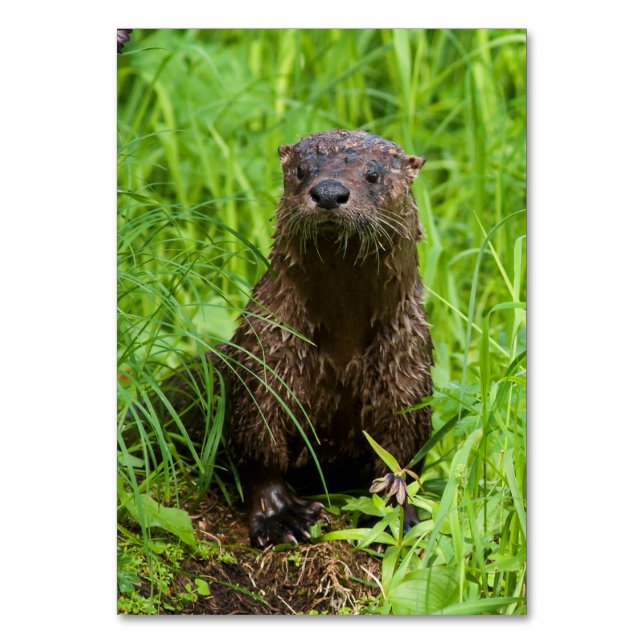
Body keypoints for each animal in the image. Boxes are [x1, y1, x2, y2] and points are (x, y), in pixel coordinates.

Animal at [219, 129, 433, 547]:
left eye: (373, 175)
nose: (330, 192)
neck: (342, 349)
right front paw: (282, 516)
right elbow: (258, 446)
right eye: (302, 171)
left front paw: (397, 523)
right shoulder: (265, 357)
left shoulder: (407, 371)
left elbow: (400, 458)